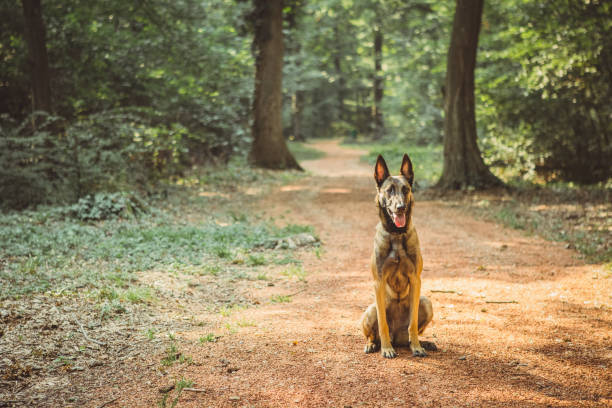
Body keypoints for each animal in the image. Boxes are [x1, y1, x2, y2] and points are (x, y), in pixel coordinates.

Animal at [360, 153, 432, 356]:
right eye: (389, 190)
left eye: (405, 189)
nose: (400, 207)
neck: (397, 235)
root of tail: (397, 338)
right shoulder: (378, 282)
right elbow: (382, 323)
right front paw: (386, 349)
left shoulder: (416, 280)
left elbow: (413, 323)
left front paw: (417, 346)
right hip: (370, 310)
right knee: (373, 333)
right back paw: (374, 344)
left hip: (426, 302)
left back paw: (422, 343)